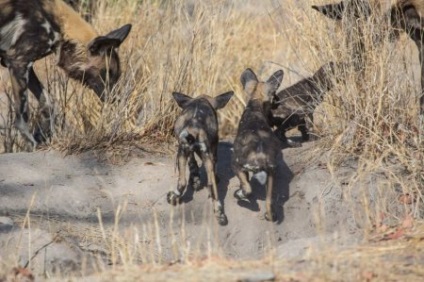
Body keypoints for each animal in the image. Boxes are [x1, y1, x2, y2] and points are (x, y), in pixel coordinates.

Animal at [166, 91, 234, 226]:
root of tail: (195, 127)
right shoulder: (210, 152)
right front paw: (196, 179)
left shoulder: (184, 150)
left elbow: (192, 163)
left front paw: (195, 179)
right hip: (203, 156)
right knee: (211, 185)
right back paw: (220, 215)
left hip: (182, 153)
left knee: (182, 182)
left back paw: (174, 197)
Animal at [232, 68, 284, 223]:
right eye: (274, 96)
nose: (279, 101)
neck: (255, 105)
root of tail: (260, 156)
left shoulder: (237, 166)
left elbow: (246, 186)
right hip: (271, 174)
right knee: (269, 202)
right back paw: (270, 215)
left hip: (237, 164)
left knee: (248, 191)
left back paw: (239, 195)